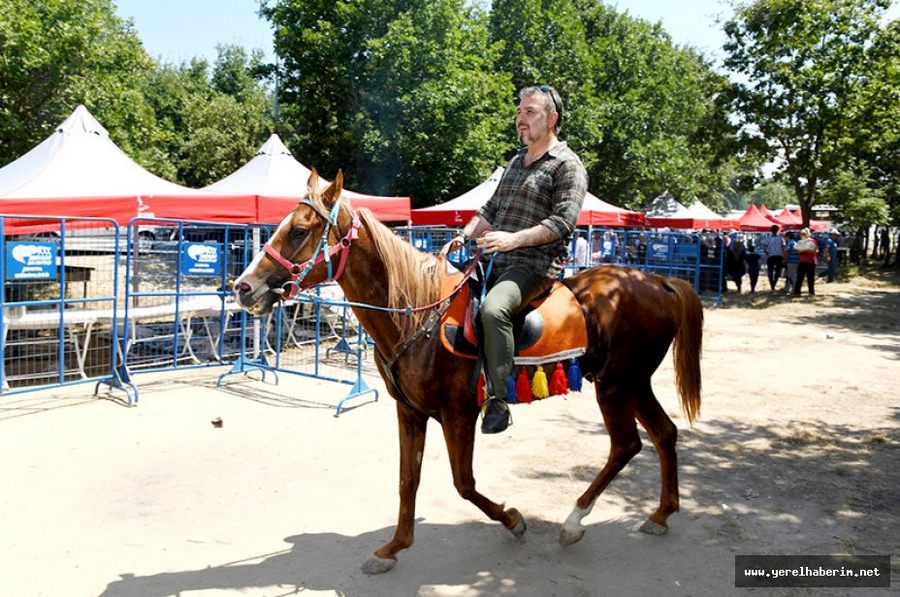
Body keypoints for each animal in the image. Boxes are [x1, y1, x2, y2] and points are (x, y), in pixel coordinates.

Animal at [232, 171, 704, 572]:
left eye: (299, 230)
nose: (243, 287)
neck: (416, 314)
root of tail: (658, 282)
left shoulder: (458, 414)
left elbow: (463, 483)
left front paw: (513, 519)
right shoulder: (410, 412)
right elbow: (407, 479)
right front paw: (393, 547)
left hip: (616, 386)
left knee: (626, 445)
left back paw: (574, 520)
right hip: (633, 383)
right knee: (664, 434)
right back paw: (661, 513)